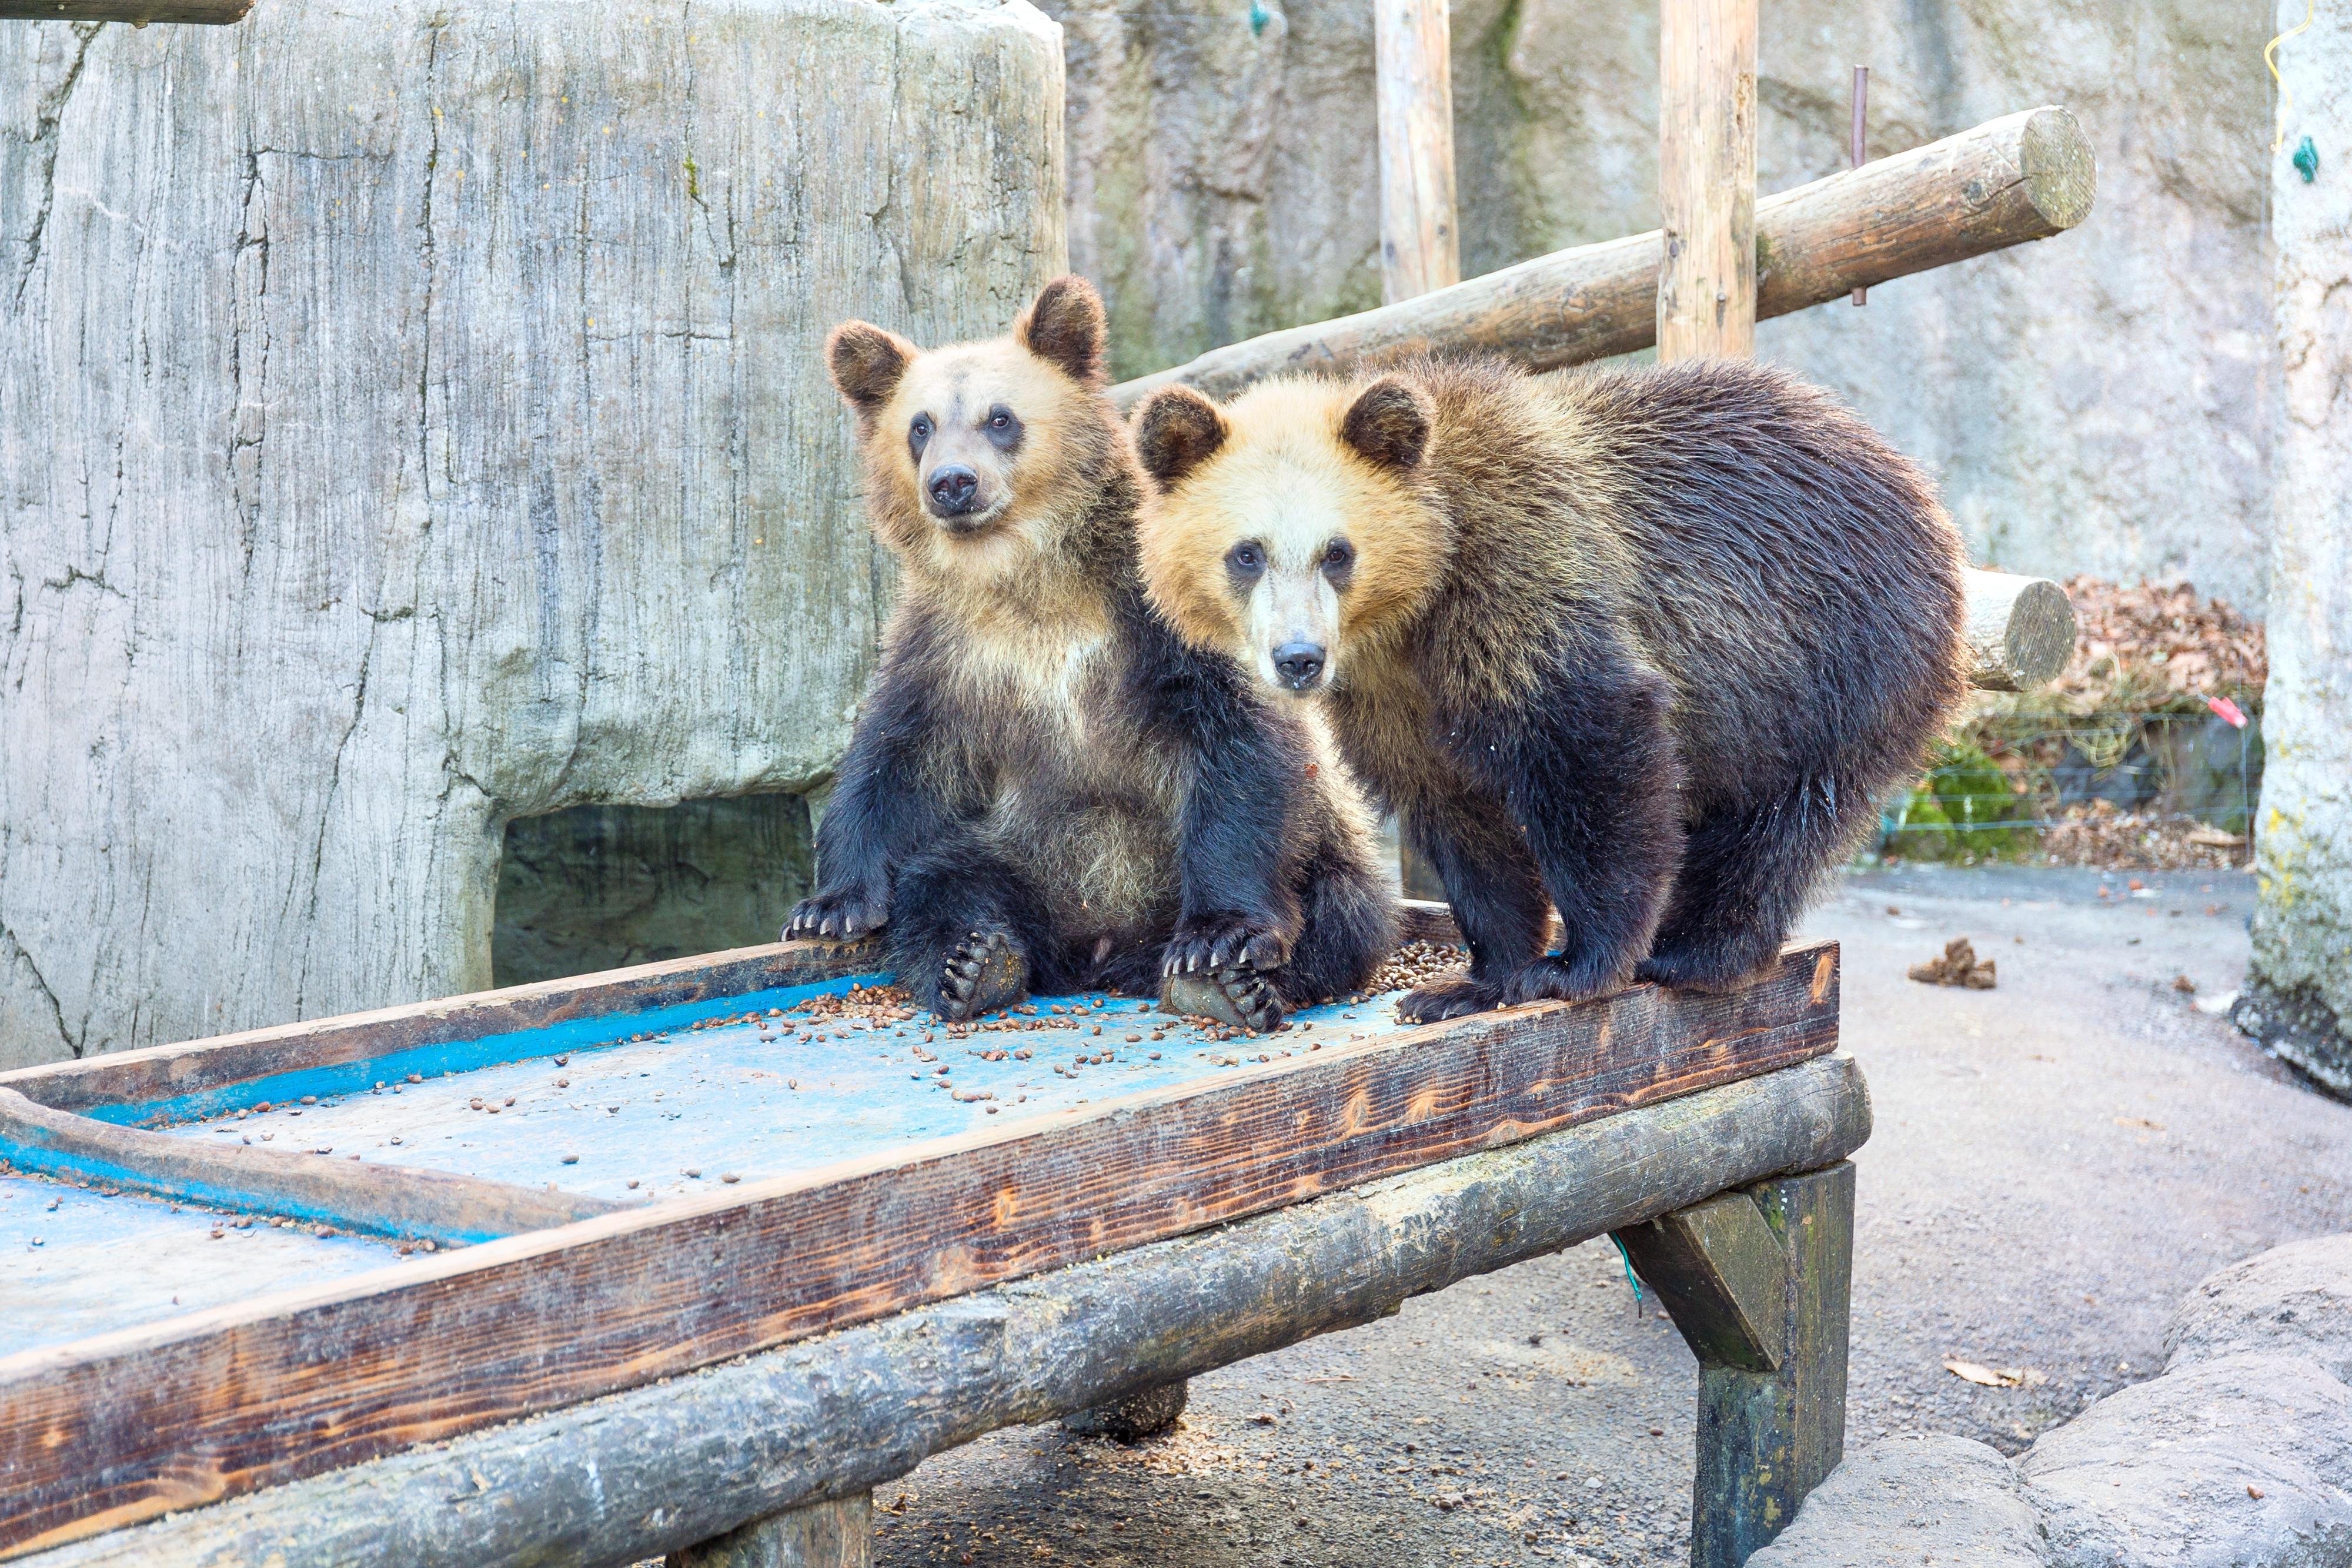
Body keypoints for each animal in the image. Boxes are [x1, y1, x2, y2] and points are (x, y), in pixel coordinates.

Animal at [784, 276, 1395, 1033]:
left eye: (1000, 418)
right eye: (919, 426)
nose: (951, 483)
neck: (1028, 578)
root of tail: (1101, 951)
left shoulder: (1164, 622)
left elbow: (1240, 749)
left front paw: (1217, 939)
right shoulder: (952, 648)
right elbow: (896, 759)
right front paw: (828, 908)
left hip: (1327, 846)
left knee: (1343, 915)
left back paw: (1228, 985)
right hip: (1022, 852)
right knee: (942, 884)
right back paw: (976, 964)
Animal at [1129, 354, 1967, 1022]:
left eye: (1337, 552)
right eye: (1246, 553)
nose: (1298, 658)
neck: (1417, 607)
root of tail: (1918, 487)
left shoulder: (1526, 583)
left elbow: (1594, 750)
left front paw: (1576, 965)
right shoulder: (1396, 700)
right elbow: (1461, 821)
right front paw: (1470, 981)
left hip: (1835, 660)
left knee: (1780, 820)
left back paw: (1697, 950)